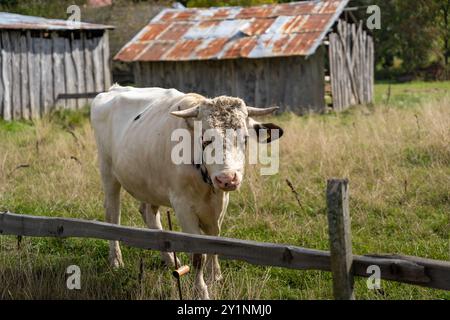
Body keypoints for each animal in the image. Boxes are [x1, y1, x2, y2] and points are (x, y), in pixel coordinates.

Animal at [89, 85, 284, 300]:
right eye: (205, 139)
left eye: (246, 139)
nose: (227, 178)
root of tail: (114, 88)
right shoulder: (183, 206)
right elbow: (198, 254)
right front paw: (201, 290)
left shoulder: (220, 203)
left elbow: (215, 239)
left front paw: (215, 276)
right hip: (108, 174)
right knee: (113, 214)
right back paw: (116, 260)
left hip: (149, 182)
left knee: (149, 214)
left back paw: (170, 260)